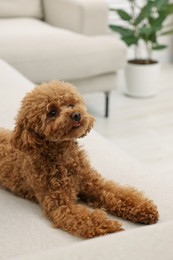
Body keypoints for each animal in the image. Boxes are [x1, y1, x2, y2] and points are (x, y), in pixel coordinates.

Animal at [0, 81, 159, 238]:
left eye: (71, 104)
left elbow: (118, 194)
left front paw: (144, 209)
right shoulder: (60, 205)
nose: (76, 114)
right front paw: (108, 226)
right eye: (52, 112)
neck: (65, 157)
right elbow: (86, 218)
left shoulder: (93, 184)